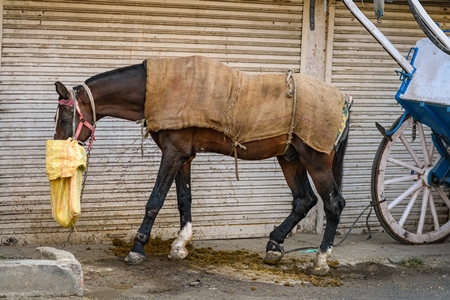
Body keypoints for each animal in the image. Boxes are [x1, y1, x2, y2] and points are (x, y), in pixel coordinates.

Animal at [53, 55, 352, 274]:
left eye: (65, 118)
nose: (60, 147)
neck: (157, 88)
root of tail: (344, 101)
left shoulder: (173, 154)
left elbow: (155, 200)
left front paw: (137, 249)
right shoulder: (183, 156)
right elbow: (184, 198)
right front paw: (180, 245)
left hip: (316, 161)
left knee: (333, 204)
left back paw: (320, 261)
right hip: (290, 158)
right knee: (304, 200)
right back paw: (274, 245)